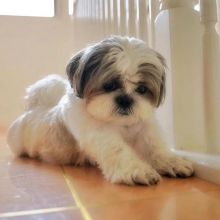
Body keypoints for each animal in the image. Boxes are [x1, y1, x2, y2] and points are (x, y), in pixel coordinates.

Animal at [6, 36, 193, 186]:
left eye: (141, 89)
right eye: (109, 85)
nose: (125, 99)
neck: (120, 124)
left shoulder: (146, 130)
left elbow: (156, 147)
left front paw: (172, 162)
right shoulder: (99, 133)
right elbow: (118, 150)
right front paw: (137, 170)